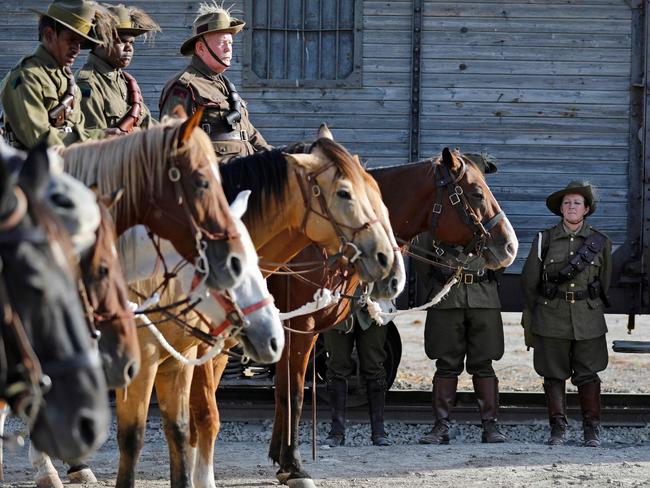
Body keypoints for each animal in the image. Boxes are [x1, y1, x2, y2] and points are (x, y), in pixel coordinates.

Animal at [258, 147, 516, 486]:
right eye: (476, 193)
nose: (509, 245)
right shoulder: (300, 325)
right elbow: (293, 394)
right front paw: (293, 465)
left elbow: (283, 392)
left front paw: (281, 459)